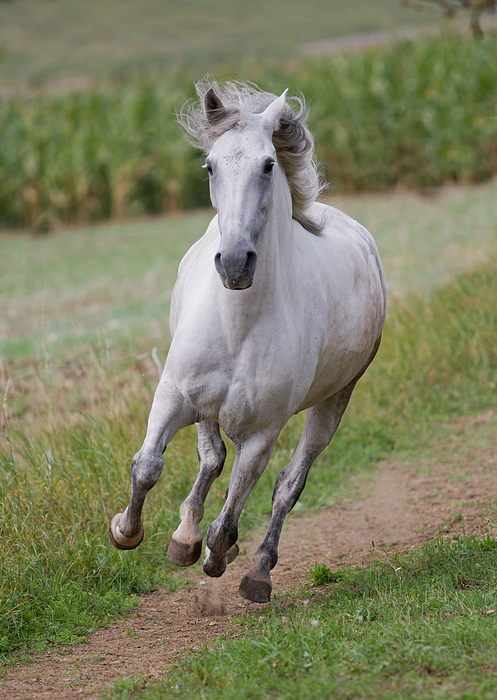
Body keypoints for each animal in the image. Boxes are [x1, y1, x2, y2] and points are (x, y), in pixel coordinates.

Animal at [109, 82, 388, 604]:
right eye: (210, 166)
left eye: (268, 164)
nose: (236, 262)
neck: (240, 324)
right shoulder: (174, 393)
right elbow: (148, 466)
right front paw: (126, 531)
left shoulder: (262, 432)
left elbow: (237, 508)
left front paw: (223, 557)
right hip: (203, 405)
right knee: (212, 458)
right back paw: (184, 538)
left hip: (334, 401)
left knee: (287, 484)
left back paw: (256, 567)